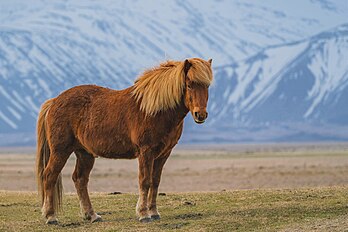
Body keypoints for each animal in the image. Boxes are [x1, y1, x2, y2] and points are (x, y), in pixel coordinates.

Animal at [36, 57, 213, 224]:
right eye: (189, 85)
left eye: (207, 86)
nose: (200, 115)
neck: (155, 110)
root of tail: (54, 101)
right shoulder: (146, 152)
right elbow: (145, 181)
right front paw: (143, 214)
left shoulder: (163, 154)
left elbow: (155, 182)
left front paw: (154, 212)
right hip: (61, 151)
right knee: (50, 175)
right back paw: (51, 216)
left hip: (84, 153)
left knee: (80, 179)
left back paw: (91, 215)